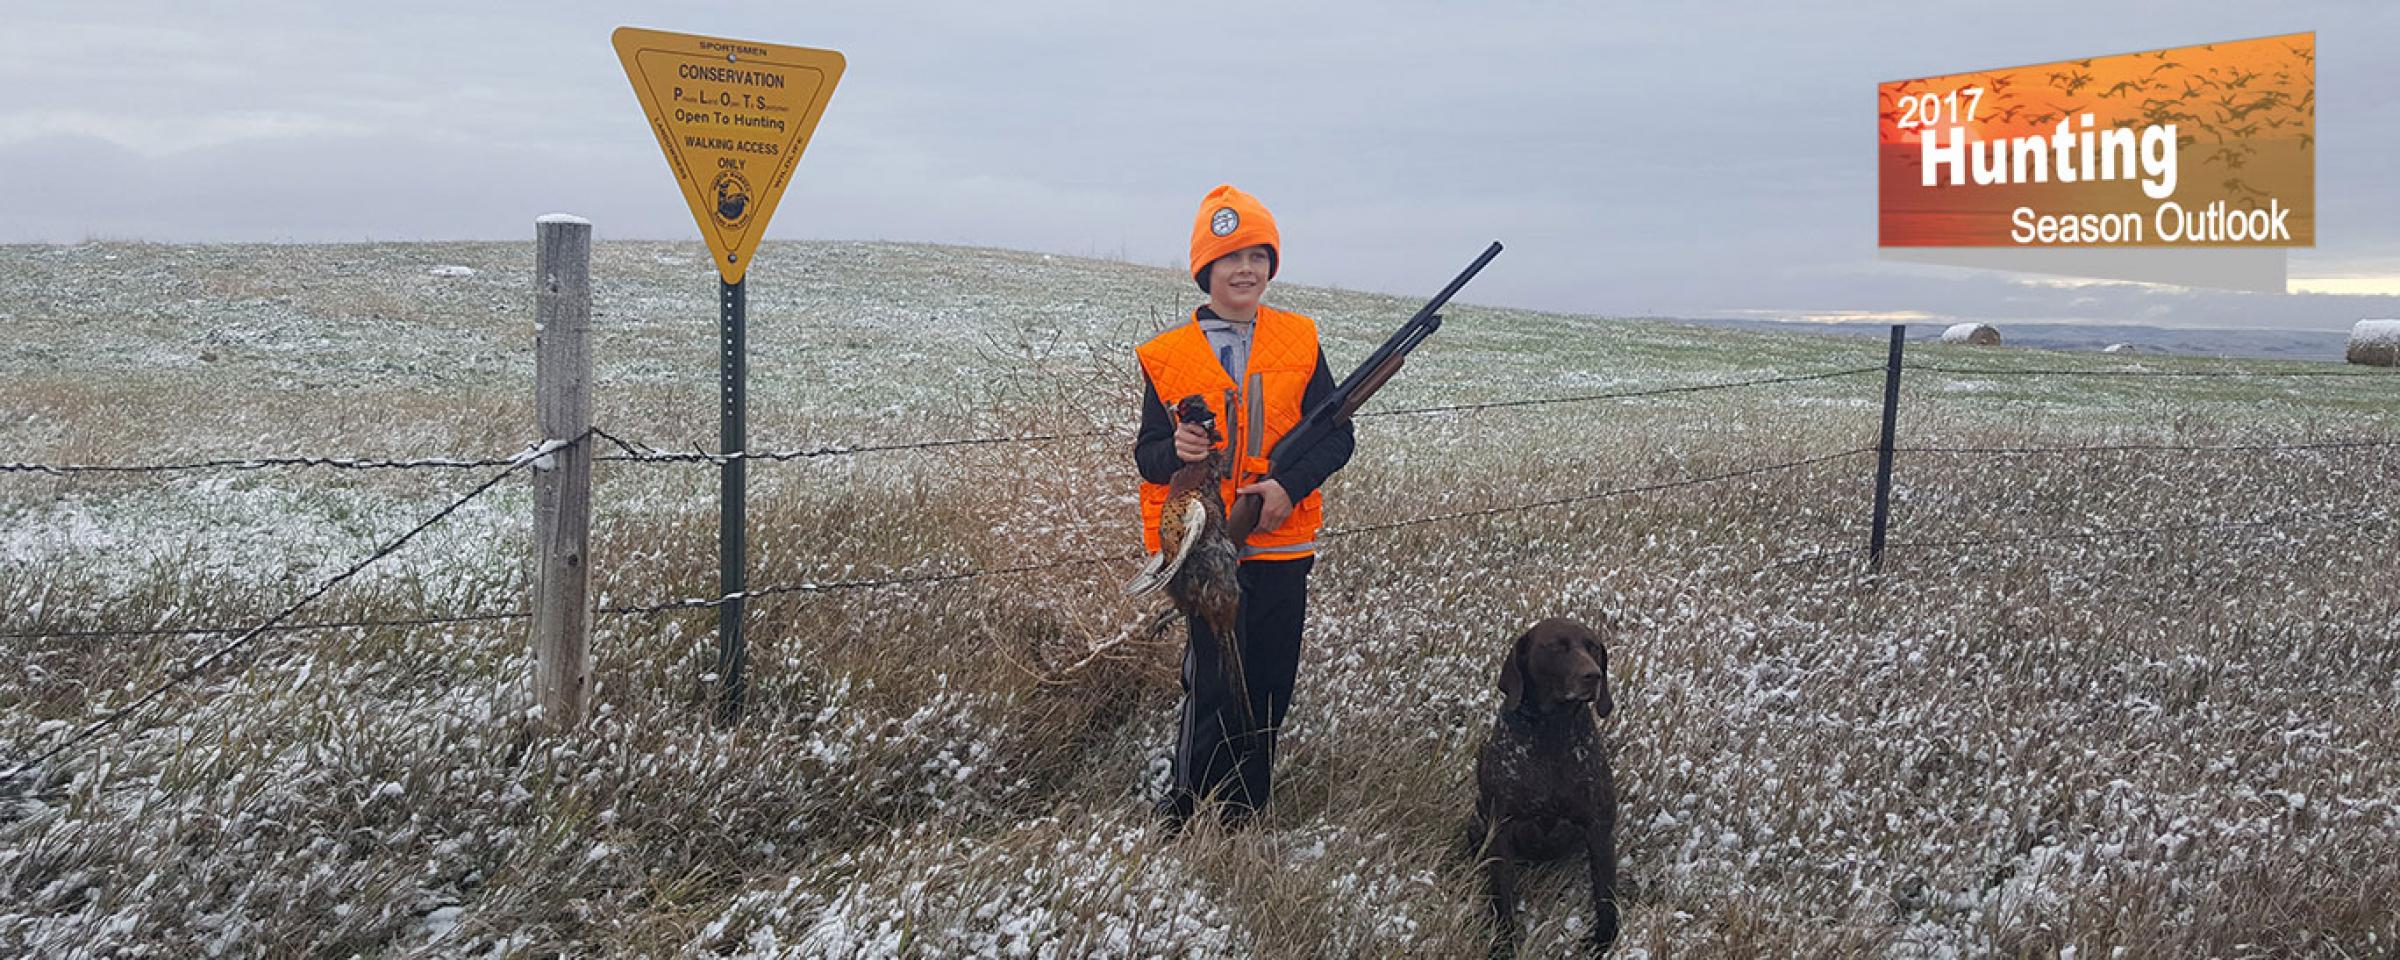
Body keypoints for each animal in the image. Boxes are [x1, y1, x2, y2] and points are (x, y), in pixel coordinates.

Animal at [1459, 619, 1612, 955]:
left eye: (1593, 647)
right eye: (1556, 646)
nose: (1593, 675)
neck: (1551, 731)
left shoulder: (1599, 827)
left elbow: (1606, 895)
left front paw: (1603, 941)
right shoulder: (1500, 829)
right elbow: (1501, 897)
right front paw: (1503, 944)